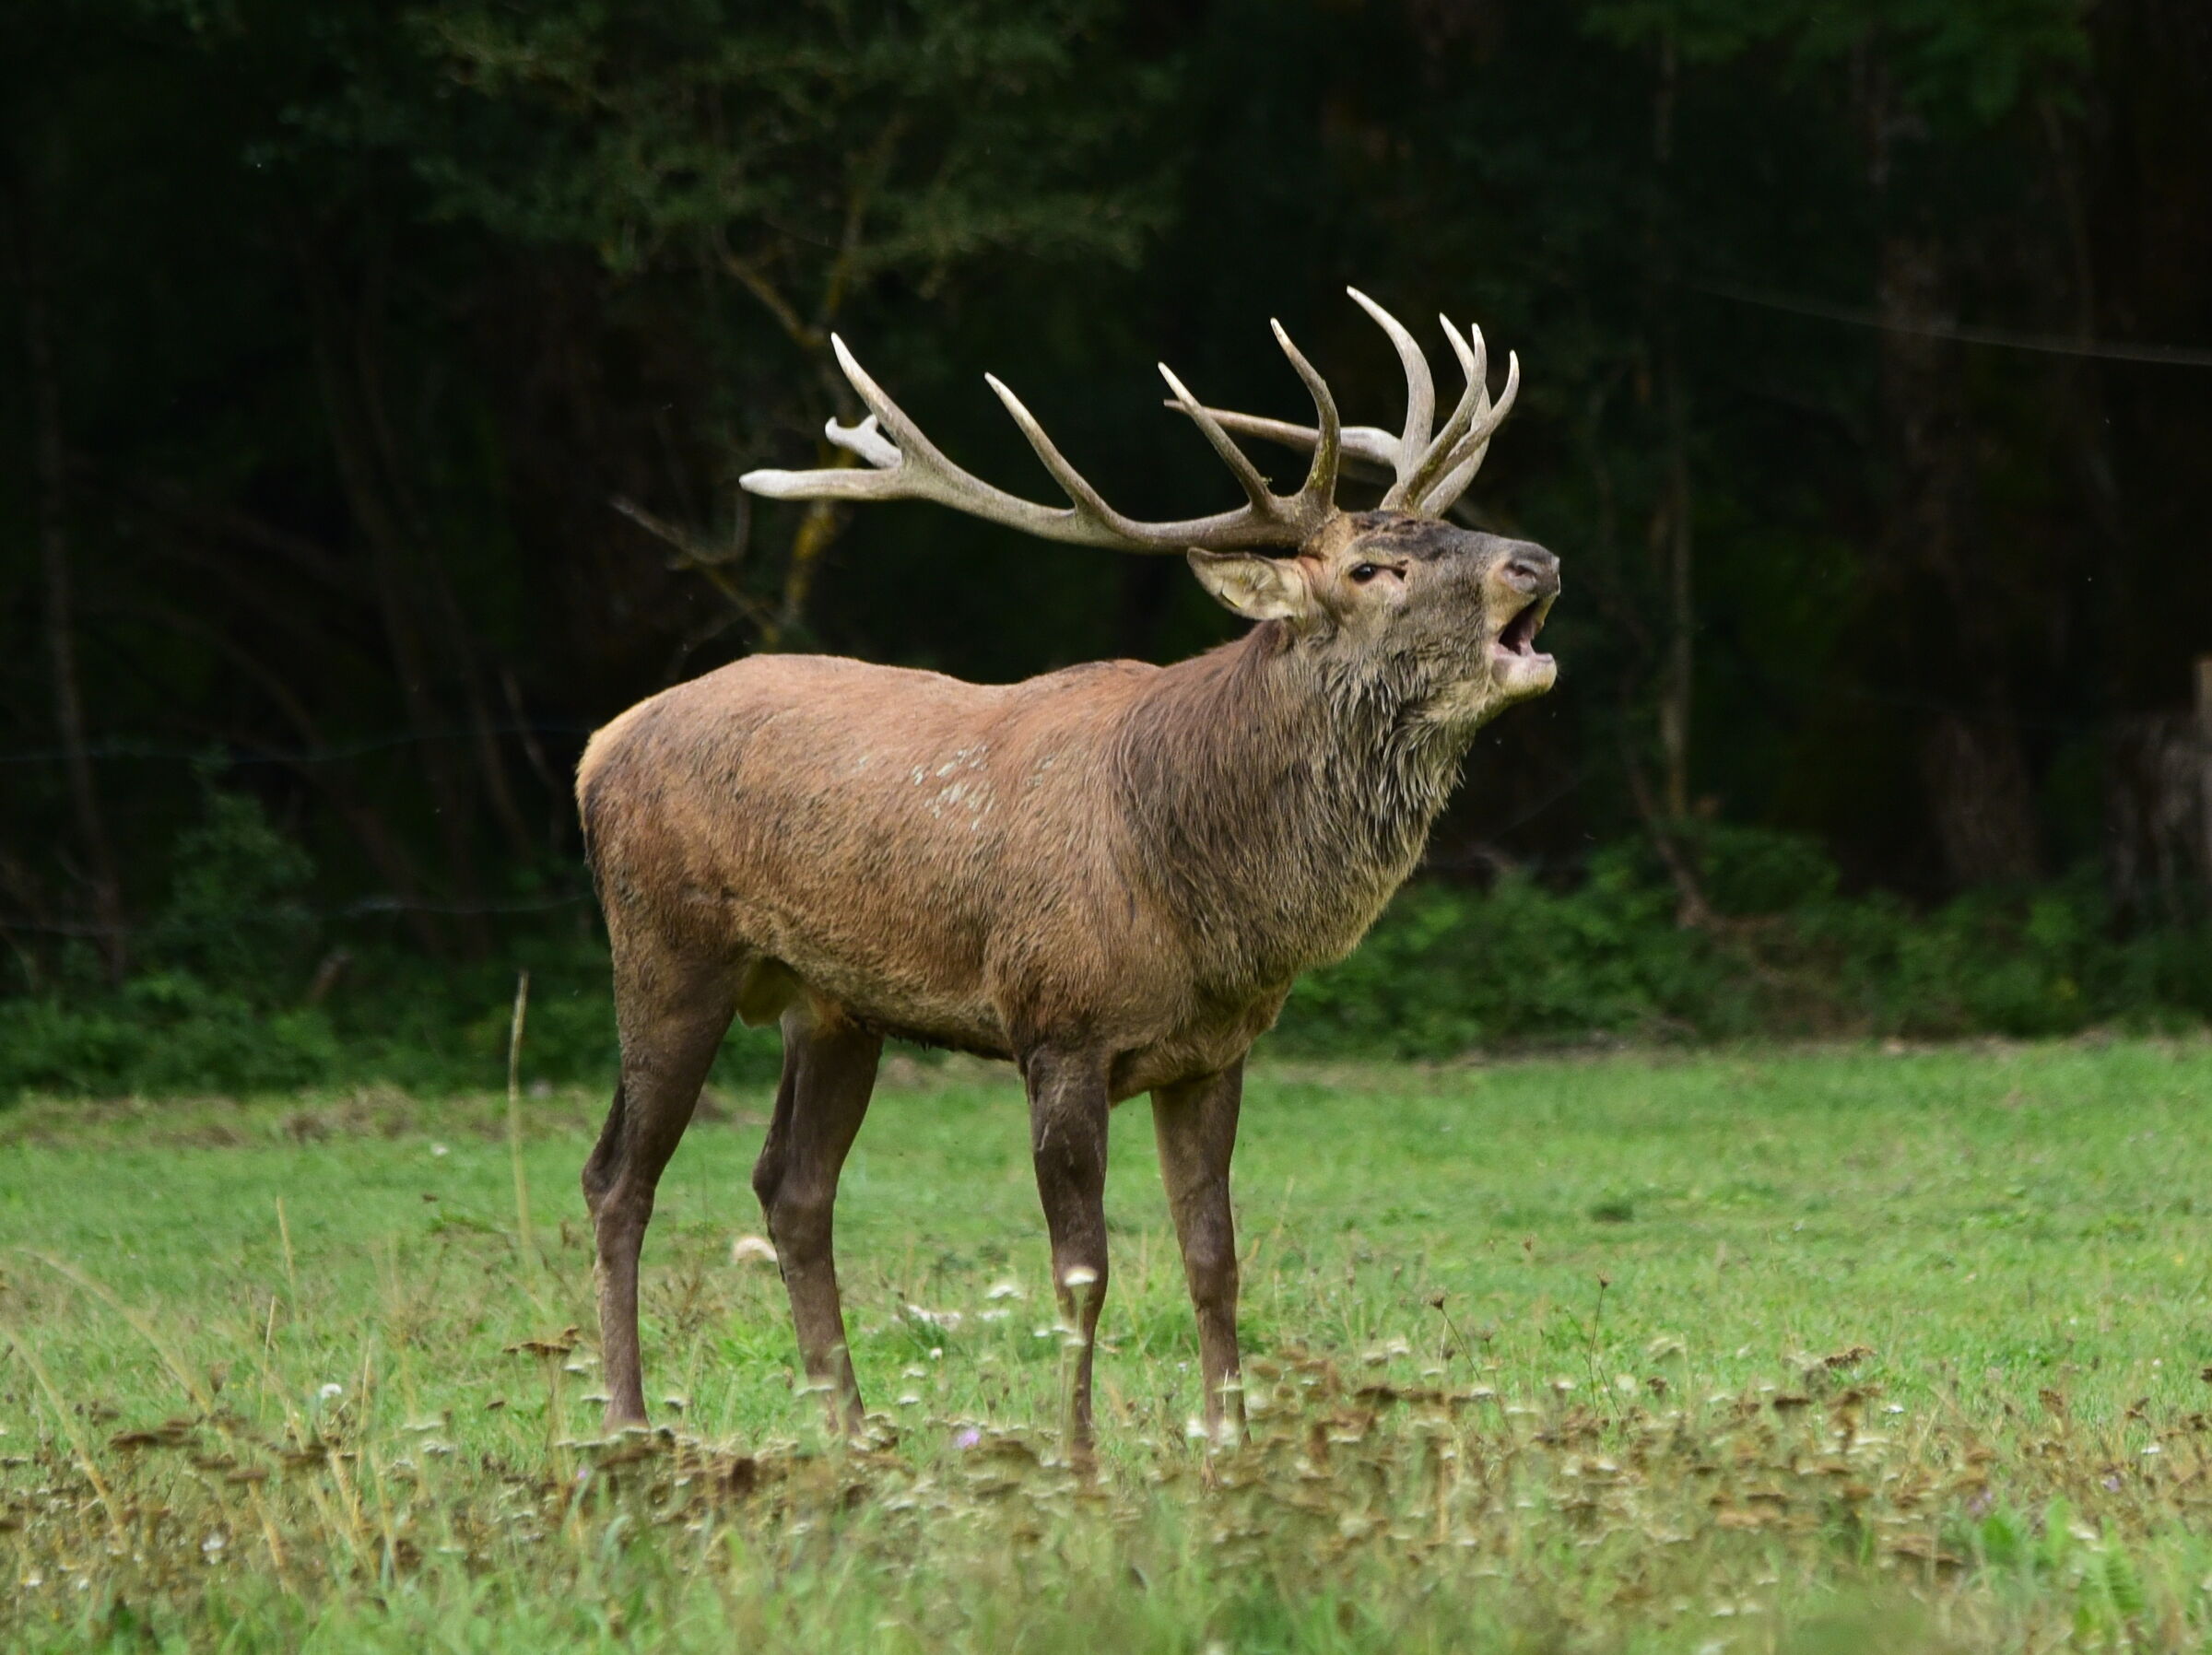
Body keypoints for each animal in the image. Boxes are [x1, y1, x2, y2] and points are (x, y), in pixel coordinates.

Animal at [576, 288, 1560, 1461]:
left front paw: (1230, 1439)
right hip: (664, 944)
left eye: (1447, 531)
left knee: (792, 1185)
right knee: (617, 1176)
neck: (1201, 883)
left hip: (833, 1001)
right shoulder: (1058, 1026)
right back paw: (629, 1420)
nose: (1536, 561)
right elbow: (1082, 1269)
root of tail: (599, 745)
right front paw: (1079, 1452)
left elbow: (1213, 1256)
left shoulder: (1213, 1052)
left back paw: (854, 1426)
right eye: (1372, 567)